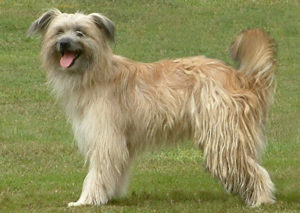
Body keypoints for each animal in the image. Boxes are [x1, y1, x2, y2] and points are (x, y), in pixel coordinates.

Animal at [27, 8, 276, 208]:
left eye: (80, 32)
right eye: (59, 31)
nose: (64, 44)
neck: (95, 73)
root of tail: (242, 78)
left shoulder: (106, 137)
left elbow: (98, 172)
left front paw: (87, 200)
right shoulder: (121, 142)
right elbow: (115, 171)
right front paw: (110, 195)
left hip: (223, 137)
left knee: (254, 170)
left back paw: (260, 199)